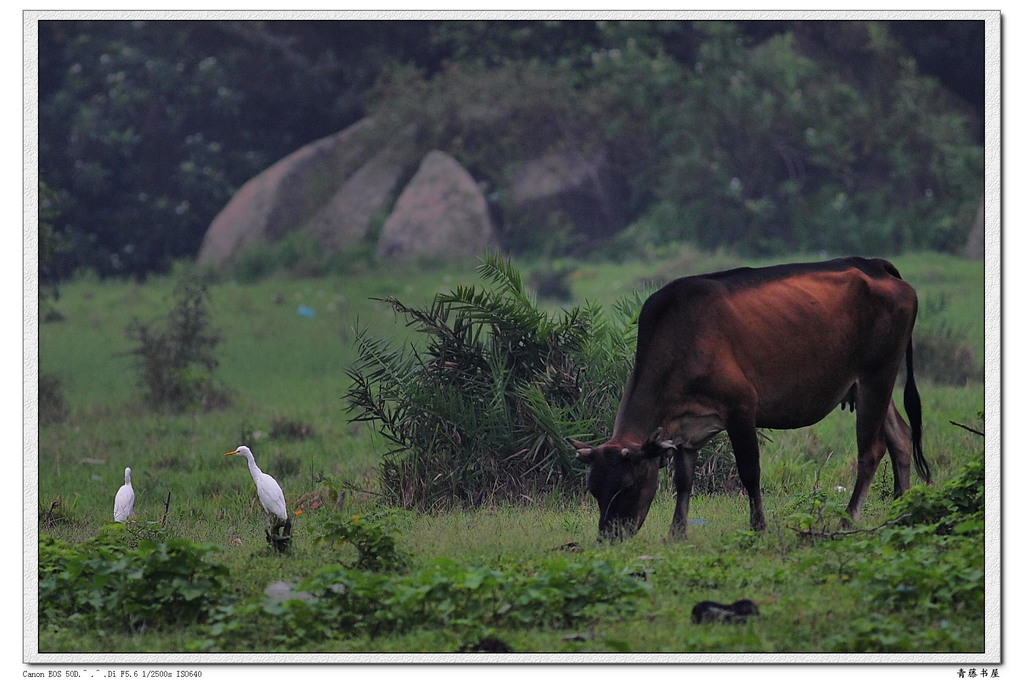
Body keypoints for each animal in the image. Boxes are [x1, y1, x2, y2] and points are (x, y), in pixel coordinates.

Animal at [573, 255, 933, 540]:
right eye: (594, 490)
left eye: (627, 485)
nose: (608, 537)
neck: (679, 339)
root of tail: (874, 265)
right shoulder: (685, 429)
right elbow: (683, 481)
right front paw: (676, 533)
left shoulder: (741, 407)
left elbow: (749, 471)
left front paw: (758, 527)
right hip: (868, 384)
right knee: (900, 437)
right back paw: (901, 507)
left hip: (877, 374)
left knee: (871, 450)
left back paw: (848, 519)